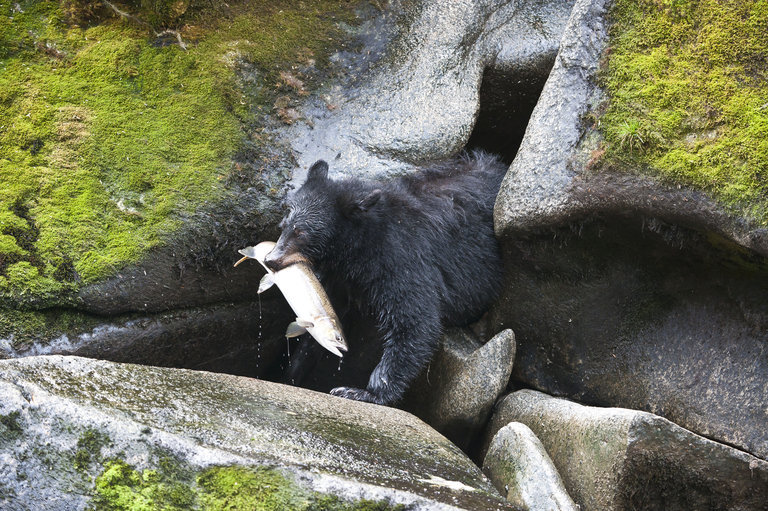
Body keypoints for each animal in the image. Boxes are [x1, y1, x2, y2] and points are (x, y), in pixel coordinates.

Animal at [264, 150, 504, 406]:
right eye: (285, 224)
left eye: (303, 233)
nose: (271, 259)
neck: (357, 248)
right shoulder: (339, 280)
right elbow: (322, 326)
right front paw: (290, 375)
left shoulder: (402, 258)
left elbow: (415, 320)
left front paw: (363, 392)